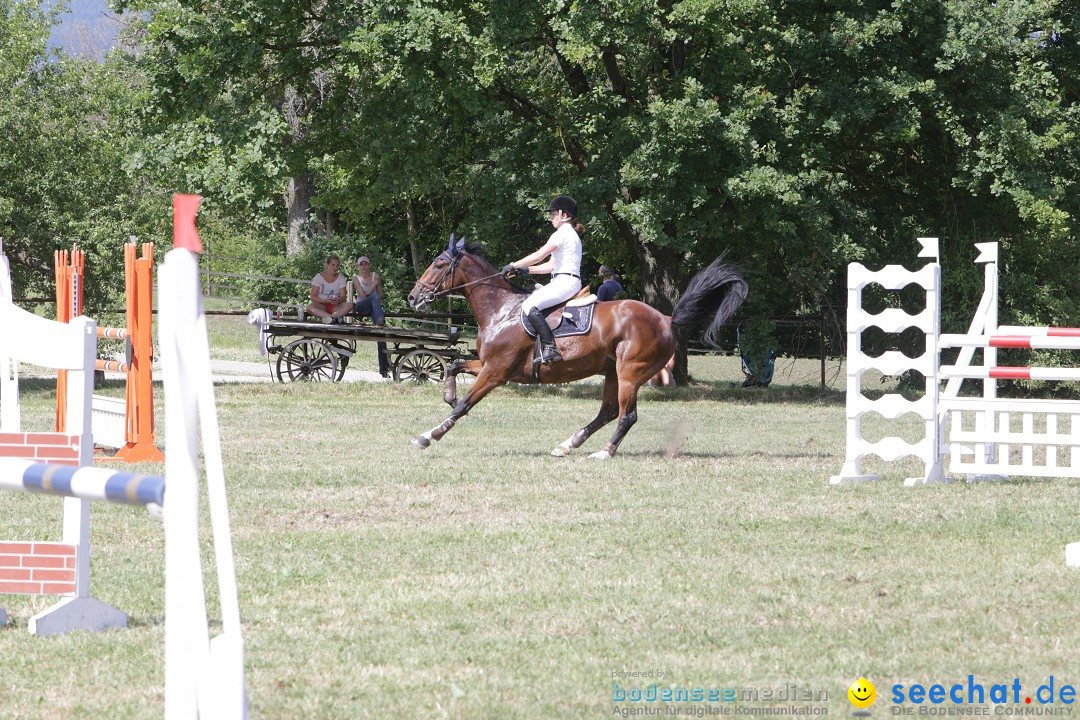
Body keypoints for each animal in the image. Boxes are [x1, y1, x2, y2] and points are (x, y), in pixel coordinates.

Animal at [403, 239, 743, 459]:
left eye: (439, 264)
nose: (413, 297)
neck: (501, 310)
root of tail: (667, 319)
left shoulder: (496, 372)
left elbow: (464, 406)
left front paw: (429, 436)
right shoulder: (490, 365)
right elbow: (453, 366)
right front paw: (448, 395)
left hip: (630, 372)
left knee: (627, 415)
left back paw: (604, 452)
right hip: (612, 372)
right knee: (608, 412)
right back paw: (569, 444)